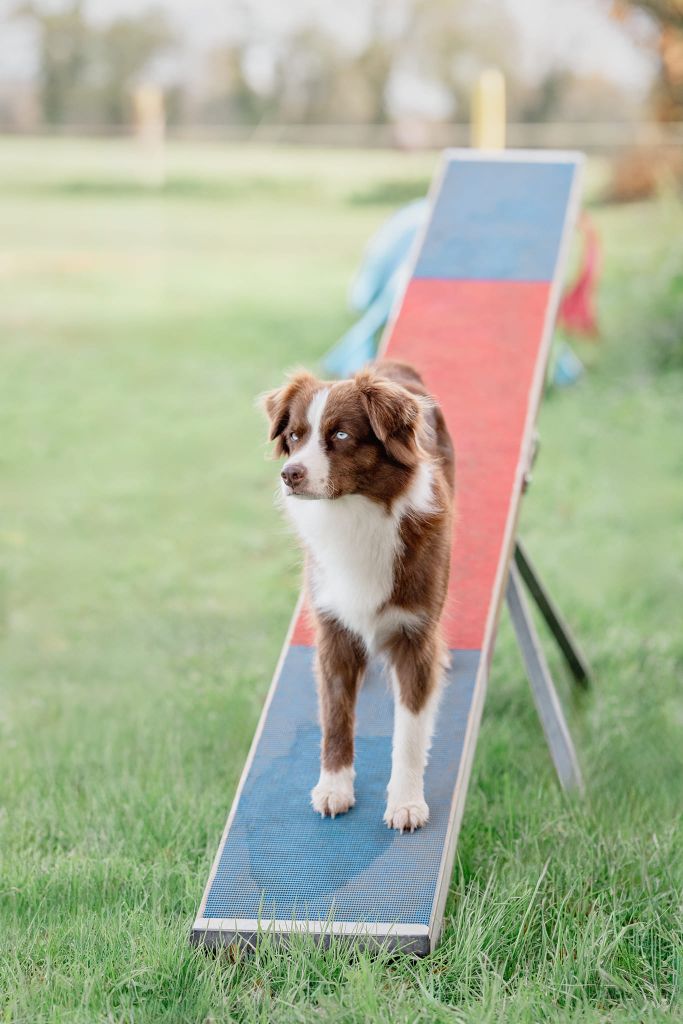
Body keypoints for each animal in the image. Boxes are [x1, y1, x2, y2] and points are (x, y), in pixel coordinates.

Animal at [264, 360, 456, 831]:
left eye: (340, 435)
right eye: (294, 436)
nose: (289, 474)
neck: (353, 513)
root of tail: (391, 367)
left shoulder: (415, 636)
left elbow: (409, 732)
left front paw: (406, 802)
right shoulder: (332, 630)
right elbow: (336, 718)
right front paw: (334, 788)